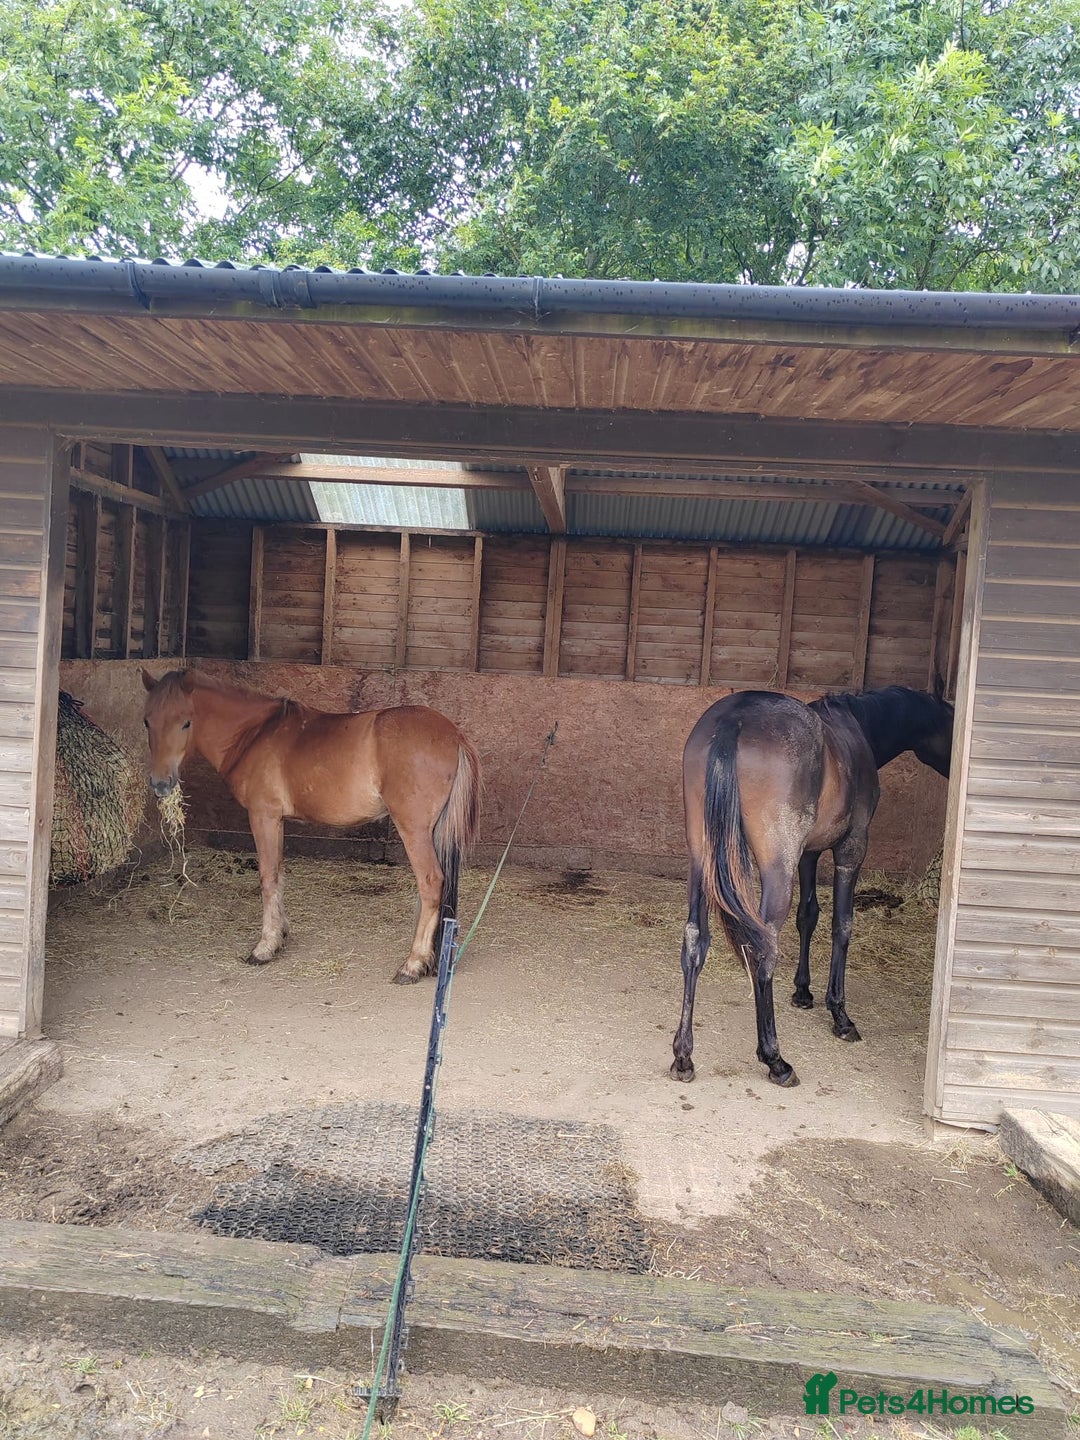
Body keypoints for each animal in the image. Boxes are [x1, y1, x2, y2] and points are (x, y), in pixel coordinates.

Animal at [140, 669, 479, 983]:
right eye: (147, 722)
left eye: (186, 722)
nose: (160, 783)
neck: (255, 733)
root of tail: (454, 735)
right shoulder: (276, 821)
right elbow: (278, 874)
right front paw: (280, 935)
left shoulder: (263, 816)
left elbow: (268, 877)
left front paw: (264, 947)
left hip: (414, 830)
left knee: (431, 882)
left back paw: (413, 964)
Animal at [671, 685, 953, 1088]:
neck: (857, 727)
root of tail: (734, 720)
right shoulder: (851, 849)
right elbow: (841, 925)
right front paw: (840, 1014)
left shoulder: (808, 854)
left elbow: (808, 916)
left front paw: (803, 991)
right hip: (776, 868)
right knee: (763, 948)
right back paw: (775, 1059)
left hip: (702, 862)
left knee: (695, 941)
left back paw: (683, 1056)